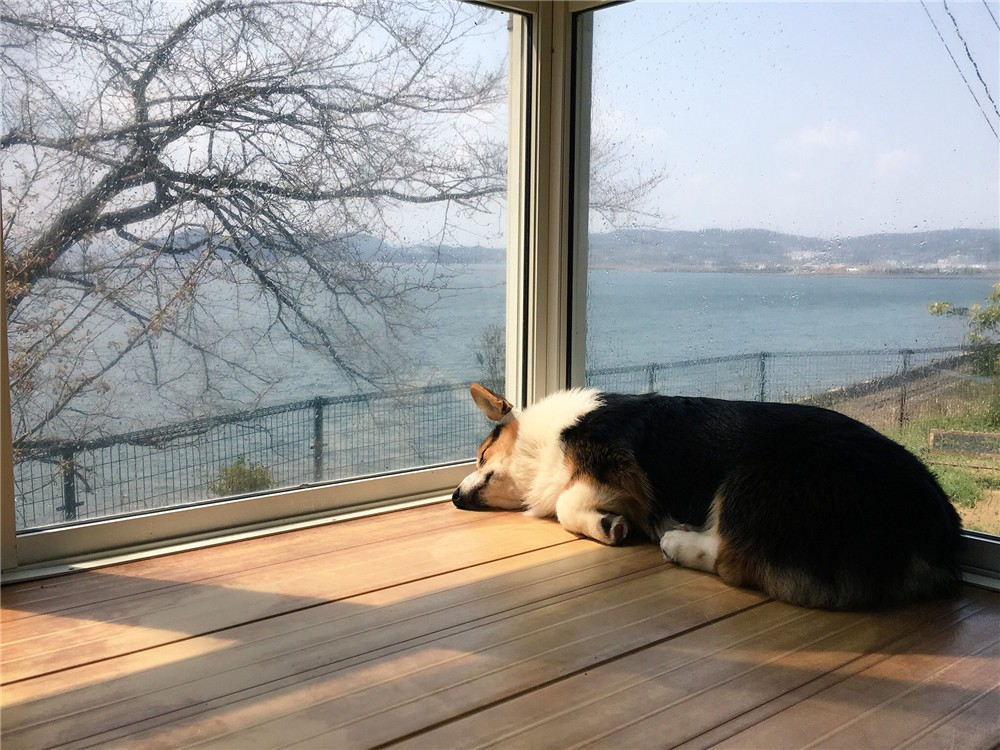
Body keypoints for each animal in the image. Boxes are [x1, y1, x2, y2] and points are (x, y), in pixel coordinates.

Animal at [452, 383, 962, 609]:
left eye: (480, 456)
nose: (454, 497)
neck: (543, 441)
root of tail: (935, 540)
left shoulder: (610, 465)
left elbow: (565, 503)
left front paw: (610, 525)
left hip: (750, 479)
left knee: (736, 560)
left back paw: (678, 543)